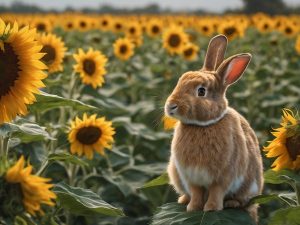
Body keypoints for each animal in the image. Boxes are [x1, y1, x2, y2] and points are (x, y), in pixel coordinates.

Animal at [165, 34, 264, 222]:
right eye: (180, 82)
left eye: (201, 91)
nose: (171, 106)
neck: (202, 125)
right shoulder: (191, 177)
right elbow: (196, 193)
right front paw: (193, 208)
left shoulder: (223, 176)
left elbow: (216, 192)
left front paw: (211, 209)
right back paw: (183, 200)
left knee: (243, 200)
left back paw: (231, 203)